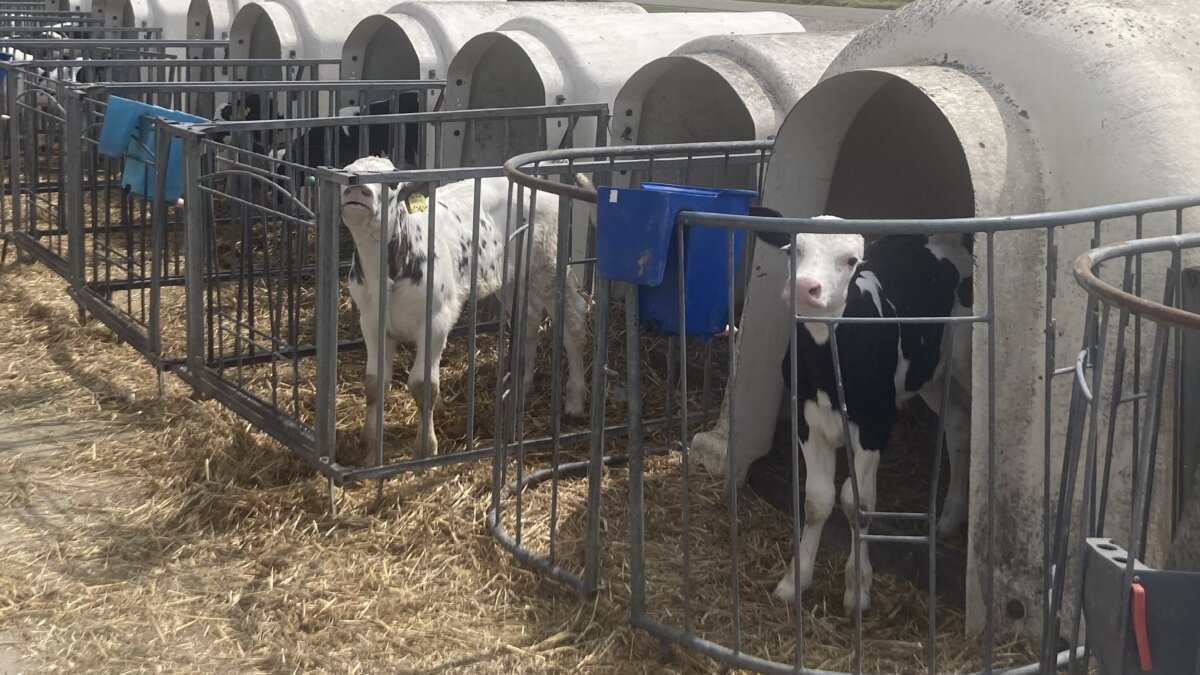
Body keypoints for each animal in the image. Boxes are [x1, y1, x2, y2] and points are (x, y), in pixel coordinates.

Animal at [340, 154, 588, 454]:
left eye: (393, 183)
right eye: (346, 174)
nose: (357, 191)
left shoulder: (436, 320)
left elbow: (424, 385)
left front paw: (426, 447)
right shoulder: (370, 321)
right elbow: (375, 383)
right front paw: (369, 445)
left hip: (548, 266)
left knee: (574, 319)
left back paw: (575, 401)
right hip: (513, 278)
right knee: (528, 320)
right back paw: (520, 387)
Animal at [758, 213, 974, 610]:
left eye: (851, 261)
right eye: (793, 249)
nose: (805, 288)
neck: (828, 367)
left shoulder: (876, 423)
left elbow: (857, 502)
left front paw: (858, 588)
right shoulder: (806, 419)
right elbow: (818, 499)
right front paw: (794, 582)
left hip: (964, 361)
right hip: (929, 374)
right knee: (956, 426)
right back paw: (949, 519)